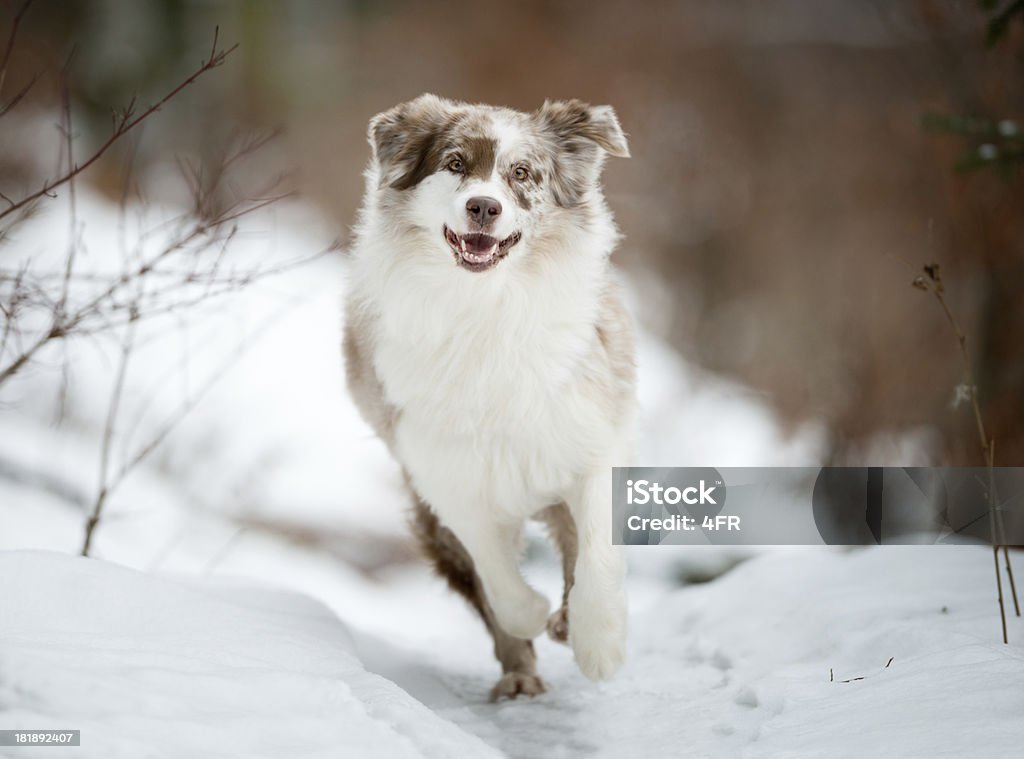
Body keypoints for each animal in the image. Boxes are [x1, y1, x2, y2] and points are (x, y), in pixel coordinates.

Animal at [344, 94, 630, 700]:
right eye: (454, 163)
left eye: (521, 173)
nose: (483, 207)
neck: (487, 306)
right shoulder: (446, 474)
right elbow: (499, 582)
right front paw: (532, 615)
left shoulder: (593, 438)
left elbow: (596, 554)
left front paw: (599, 645)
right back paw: (520, 674)